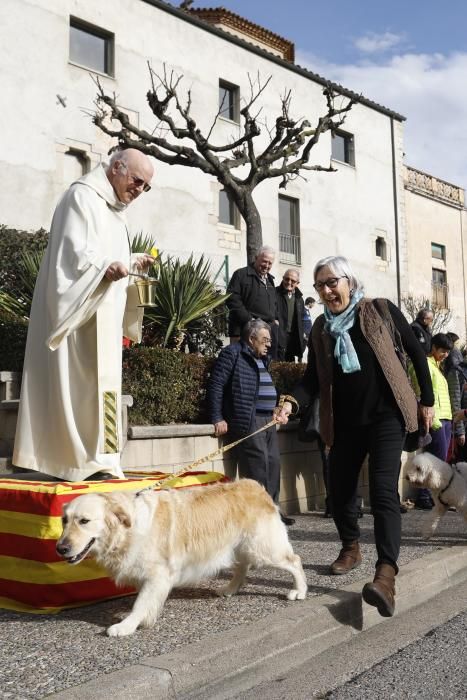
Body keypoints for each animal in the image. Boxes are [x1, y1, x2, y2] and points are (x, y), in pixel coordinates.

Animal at [56, 478, 308, 636]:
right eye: (64, 521)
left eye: (84, 521)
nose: (60, 548)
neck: (126, 530)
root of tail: (255, 486)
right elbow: (144, 601)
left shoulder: (158, 574)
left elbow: (141, 603)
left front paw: (126, 626)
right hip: (240, 546)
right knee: (243, 566)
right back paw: (230, 588)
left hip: (263, 547)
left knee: (294, 561)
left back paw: (300, 591)